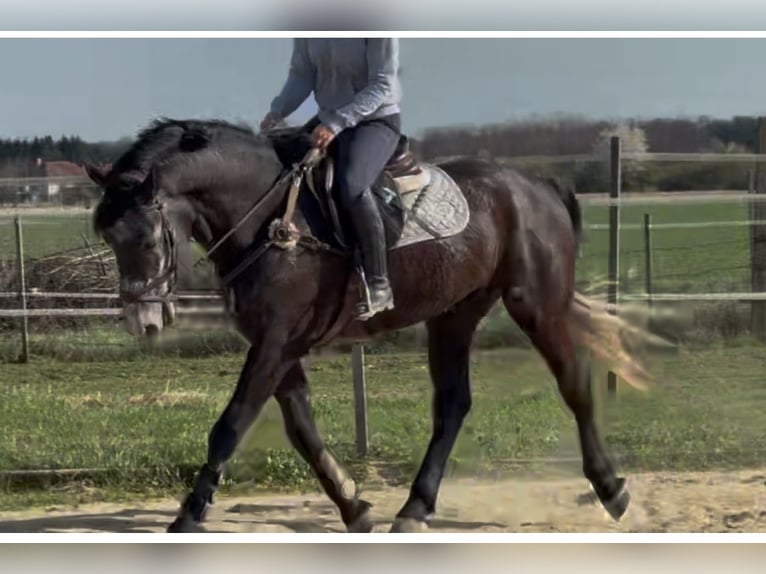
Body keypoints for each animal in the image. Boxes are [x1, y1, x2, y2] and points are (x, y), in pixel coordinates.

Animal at [84, 117, 651, 533]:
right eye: (108, 237)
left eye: (146, 237)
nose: (141, 319)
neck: (270, 221)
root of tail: (537, 187)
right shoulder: (278, 343)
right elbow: (301, 428)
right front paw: (353, 506)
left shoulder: (275, 342)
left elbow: (231, 424)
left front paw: (189, 513)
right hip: (454, 314)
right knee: (452, 405)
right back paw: (416, 508)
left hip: (536, 304)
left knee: (574, 384)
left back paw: (612, 489)